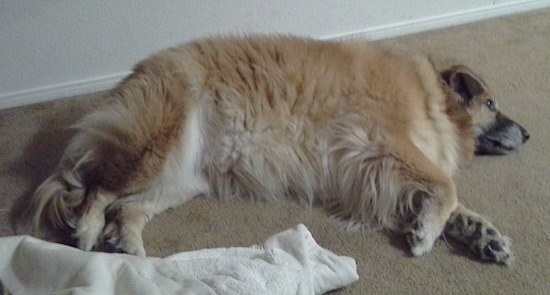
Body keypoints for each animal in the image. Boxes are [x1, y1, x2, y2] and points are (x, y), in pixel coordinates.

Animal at [30, 35, 532, 266]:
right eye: (491, 104)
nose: (528, 135)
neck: (434, 102)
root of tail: (135, 75)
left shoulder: (386, 172)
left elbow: (454, 205)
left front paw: (483, 236)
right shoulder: (382, 147)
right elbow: (445, 189)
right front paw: (426, 233)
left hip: (179, 177)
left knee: (127, 209)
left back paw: (130, 250)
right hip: (154, 150)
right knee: (97, 189)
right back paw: (87, 232)